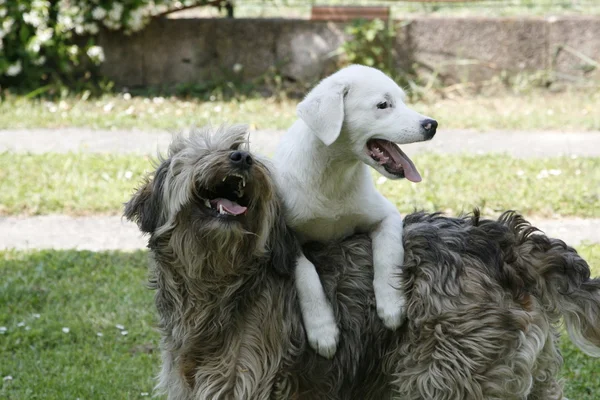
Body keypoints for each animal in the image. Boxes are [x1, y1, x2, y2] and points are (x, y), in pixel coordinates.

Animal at [124, 126, 596, 400]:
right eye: (194, 154)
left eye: (237, 146)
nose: (242, 159)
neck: (222, 279)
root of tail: (501, 241)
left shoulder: (243, 381)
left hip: (446, 376)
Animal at [274, 65, 438, 360]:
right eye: (383, 105)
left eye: (403, 100)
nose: (431, 124)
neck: (334, 176)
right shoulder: (286, 238)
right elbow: (306, 273)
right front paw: (323, 330)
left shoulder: (387, 216)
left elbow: (388, 254)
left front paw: (391, 304)